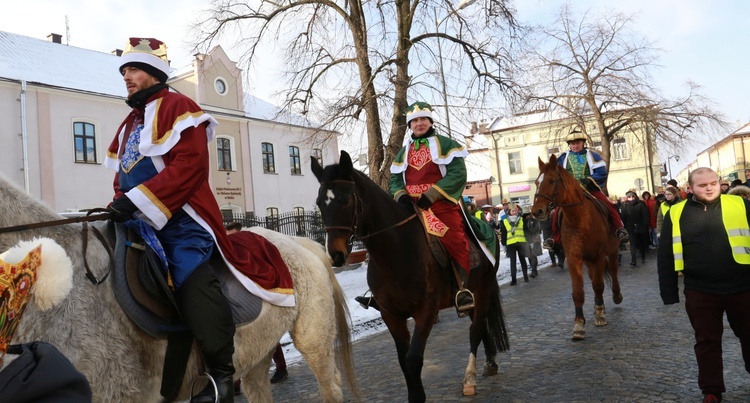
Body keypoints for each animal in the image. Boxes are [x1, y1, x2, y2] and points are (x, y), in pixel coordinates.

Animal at [312, 152, 512, 403]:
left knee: (475, 332)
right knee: (481, 327)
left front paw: (418, 396)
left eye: (346, 199)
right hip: (472, 300)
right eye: (320, 203)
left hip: (483, 292)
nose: (336, 254)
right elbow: (402, 360)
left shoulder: (426, 311)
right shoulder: (391, 315)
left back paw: (470, 379)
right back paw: (490, 363)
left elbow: (413, 358)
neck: (395, 251)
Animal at [532, 155, 624, 340]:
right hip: (588, 261)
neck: (580, 219)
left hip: (611, 251)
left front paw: (600, 315)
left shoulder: (599, 255)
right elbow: (578, 291)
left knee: (613, 271)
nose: (536, 211)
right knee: (595, 278)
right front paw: (579, 325)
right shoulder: (574, 257)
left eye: (551, 180)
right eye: (537, 182)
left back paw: (616, 297)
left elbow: (599, 285)